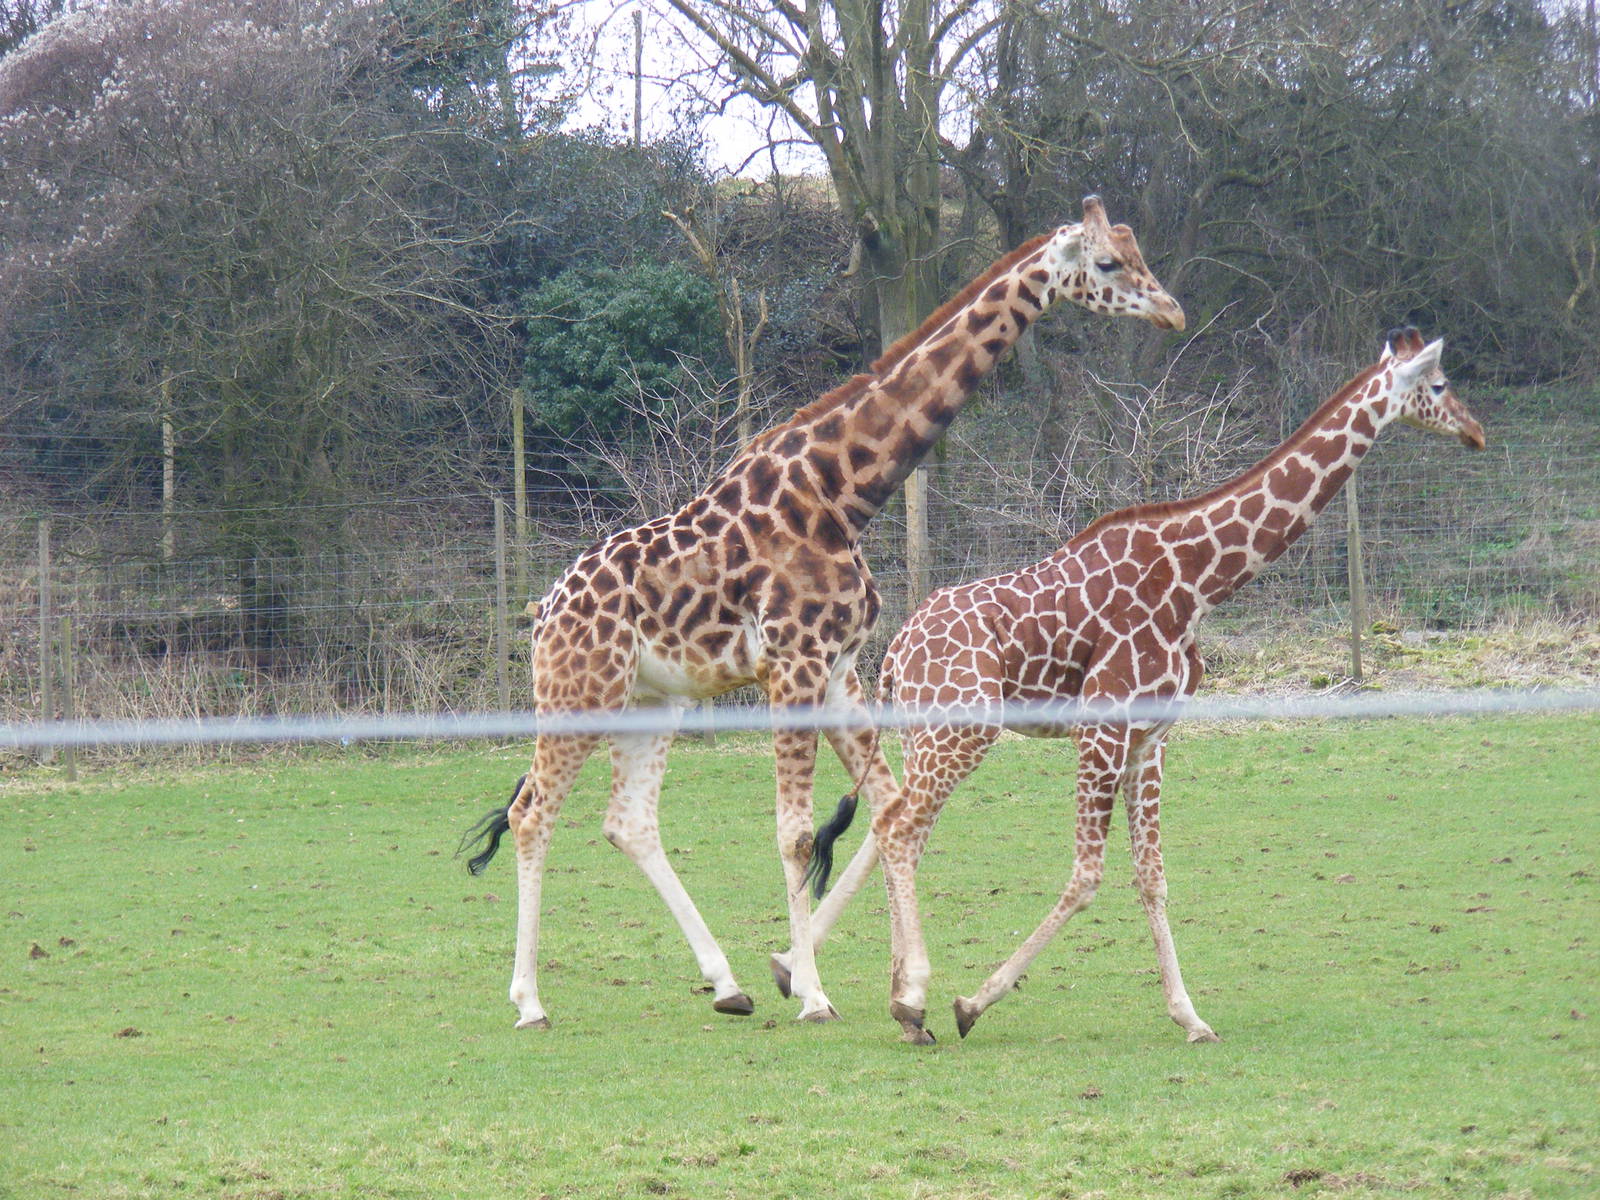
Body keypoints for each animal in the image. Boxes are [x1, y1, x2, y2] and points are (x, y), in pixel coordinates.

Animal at [460, 196, 1186, 1030]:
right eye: (1107, 263)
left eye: (1137, 253)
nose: (1171, 310)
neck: (843, 494)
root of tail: (544, 607)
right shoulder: (794, 663)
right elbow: (796, 832)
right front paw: (814, 992)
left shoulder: (840, 667)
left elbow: (886, 805)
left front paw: (887, 981)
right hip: (579, 690)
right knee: (532, 815)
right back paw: (529, 1001)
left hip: (652, 699)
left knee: (628, 821)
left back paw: (726, 984)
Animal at [818, 328, 1484, 1044]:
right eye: (1439, 384)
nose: (1475, 432)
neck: (1196, 582)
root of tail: (896, 655)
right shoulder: (1102, 728)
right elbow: (1087, 876)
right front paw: (972, 1002)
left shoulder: (1151, 737)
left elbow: (1152, 877)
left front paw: (1190, 1016)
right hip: (962, 731)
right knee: (900, 830)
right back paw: (908, 999)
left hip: (929, 734)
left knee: (892, 827)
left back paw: (862, 988)